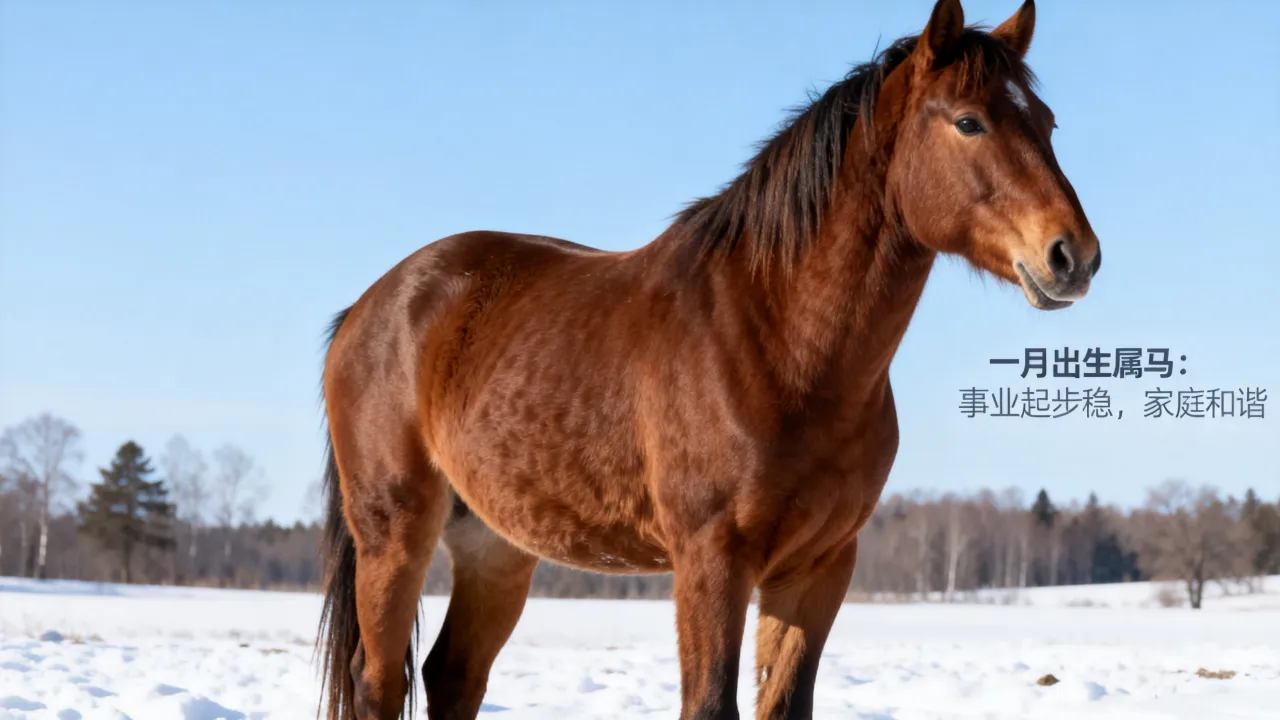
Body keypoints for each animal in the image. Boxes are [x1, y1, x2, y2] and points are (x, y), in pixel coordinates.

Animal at [316, 1, 1099, 717]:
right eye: (969, 121)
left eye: (1049, 123)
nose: (1074, 256)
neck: (777, 341)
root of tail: (370, 307)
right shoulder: (712, 561)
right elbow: (709, 703)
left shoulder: (817, 568)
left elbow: (783, 703)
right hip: (395, 530)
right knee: (379, 684)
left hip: (495, 545)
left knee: (453, 676)